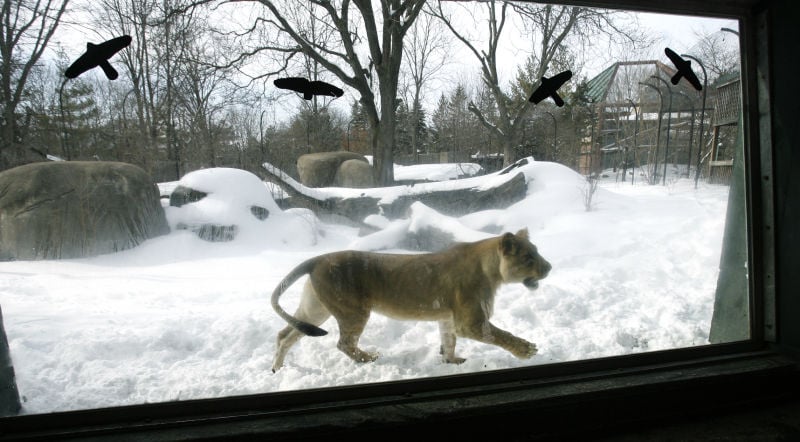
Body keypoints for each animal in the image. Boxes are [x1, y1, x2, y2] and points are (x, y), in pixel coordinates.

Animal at [270, 228, 551, 371]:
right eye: (529, 258)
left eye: (538, 252)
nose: (549, 267)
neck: (491, 270)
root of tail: (317, 259)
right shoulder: (470, 322)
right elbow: (500, 335)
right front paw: (526, 350)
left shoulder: (448, 319)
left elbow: (448, 341)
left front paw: (451, 361)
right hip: (352, 311)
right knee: (344, 343)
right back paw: (369, 358)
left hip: (315, 310)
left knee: (285, 334)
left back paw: (278, 368)